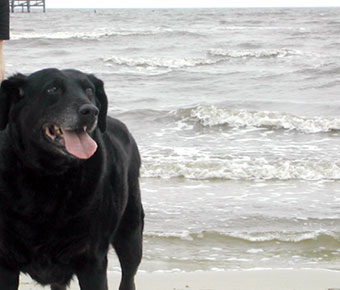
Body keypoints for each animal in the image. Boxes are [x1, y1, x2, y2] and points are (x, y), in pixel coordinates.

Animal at [0, 68, 143, 290]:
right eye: (52, 88)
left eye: (89, 90)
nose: (91, 111)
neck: (49, 179)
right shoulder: (6, 263)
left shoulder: (92, 263)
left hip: (131, 235)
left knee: (128, 276)